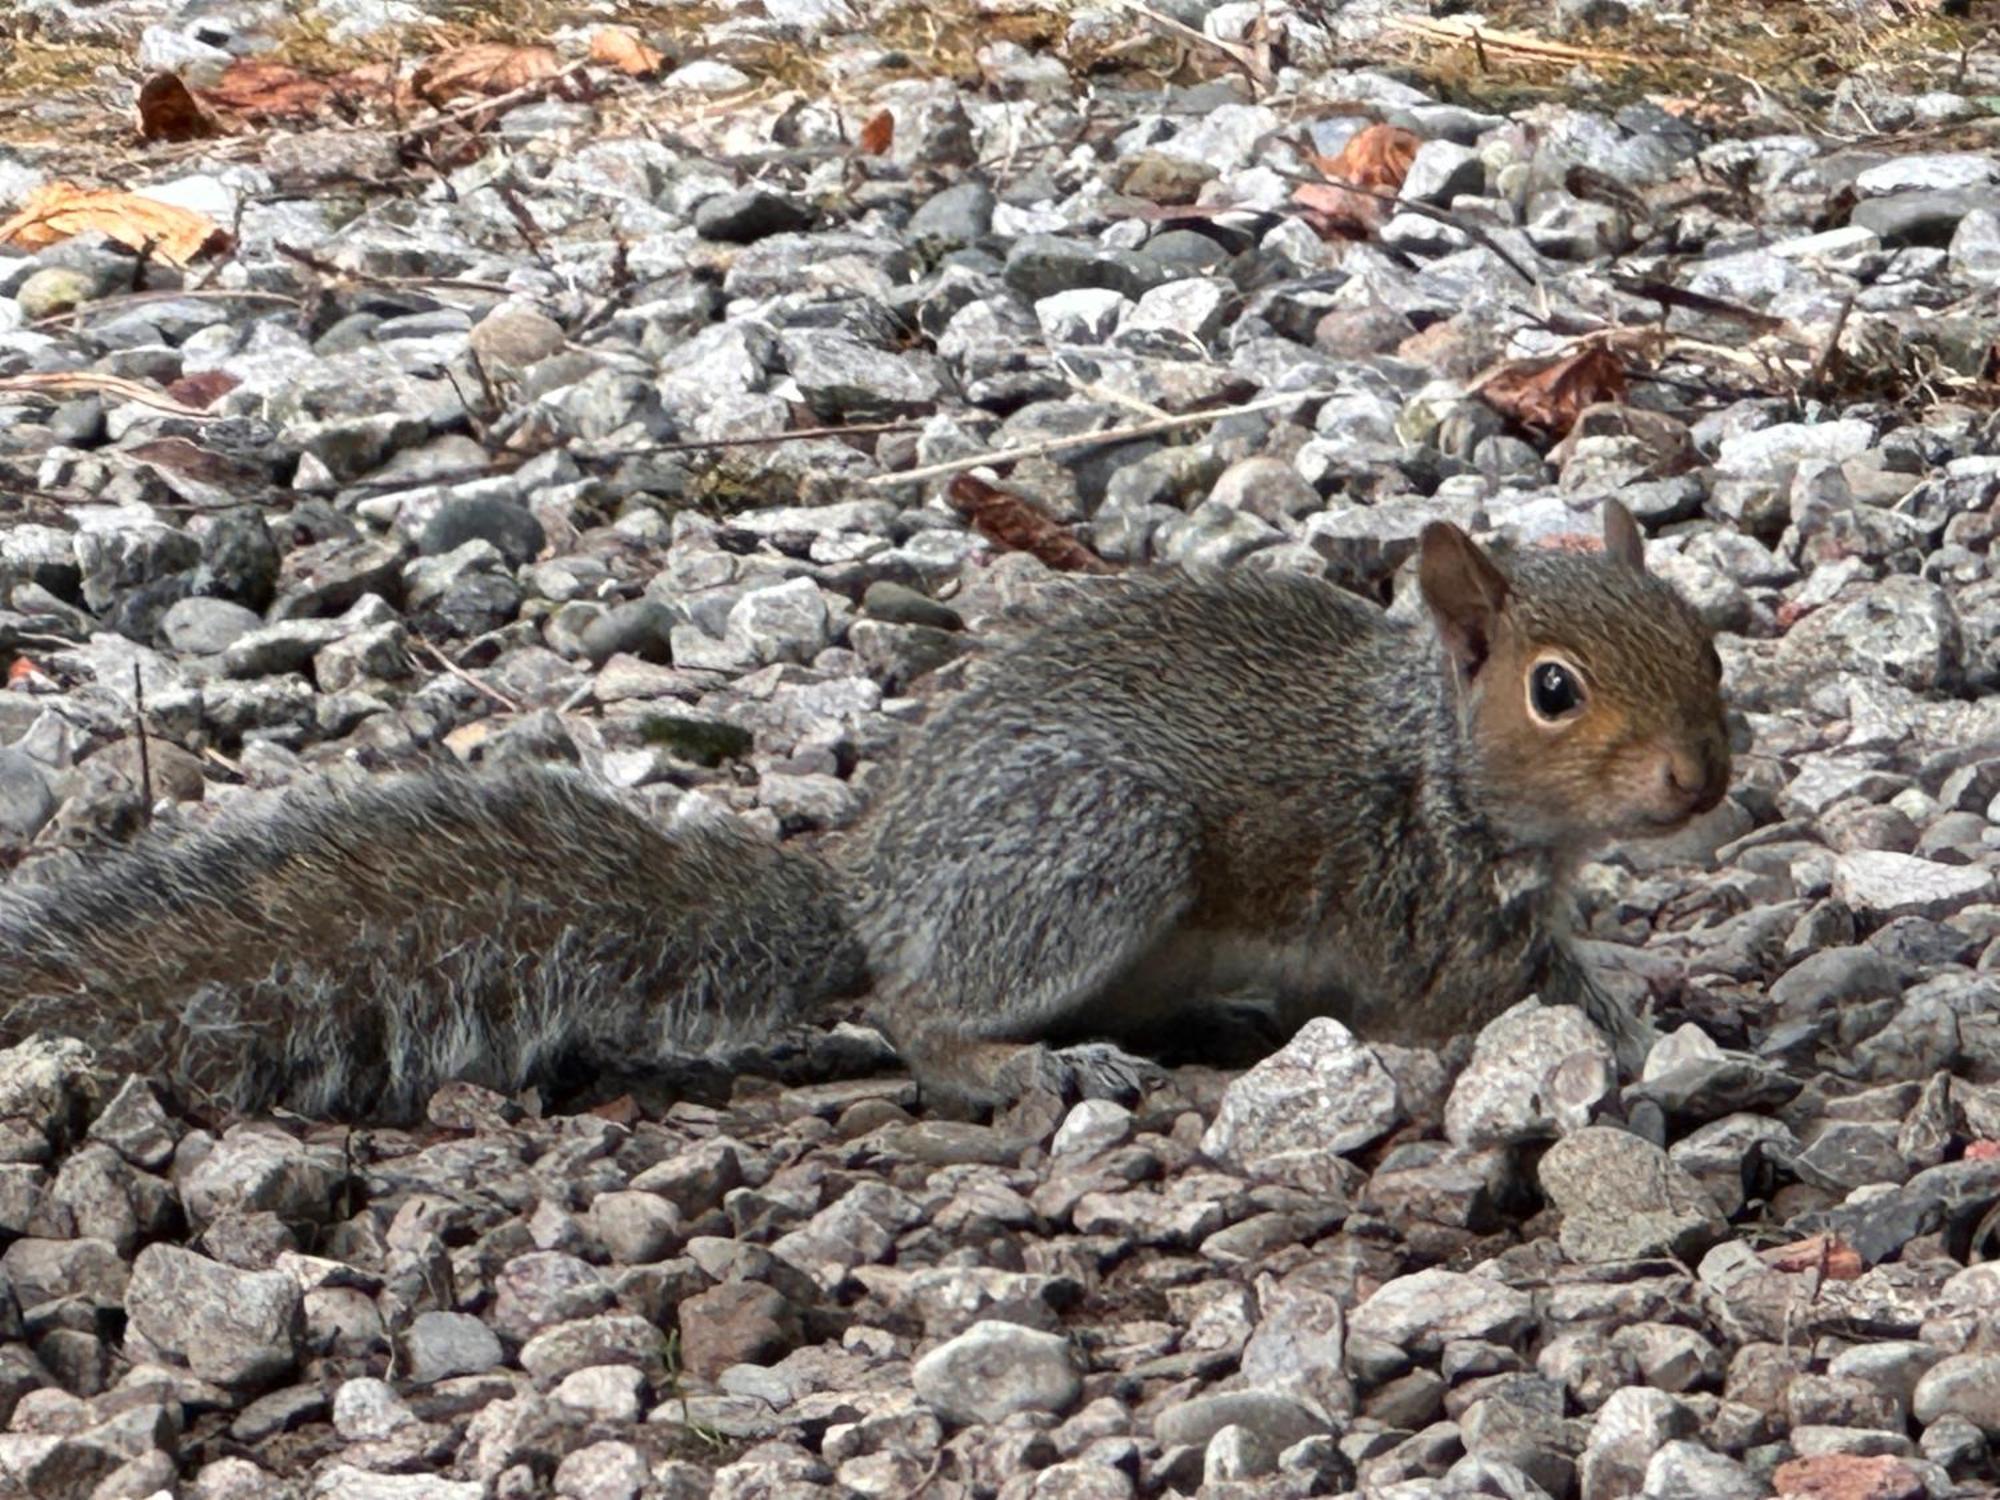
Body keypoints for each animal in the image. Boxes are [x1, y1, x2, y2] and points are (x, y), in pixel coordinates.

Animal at [0, 500, 1736, 1120]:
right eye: (1556, 690)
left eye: (1708, 639)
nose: (1702, 781)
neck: (1428, 751)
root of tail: (871, 887)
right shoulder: (1419, 908)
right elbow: (1499, 997)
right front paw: (1649, 1032)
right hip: (1094, 852)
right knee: (917, 1012)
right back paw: (1029, 1061)